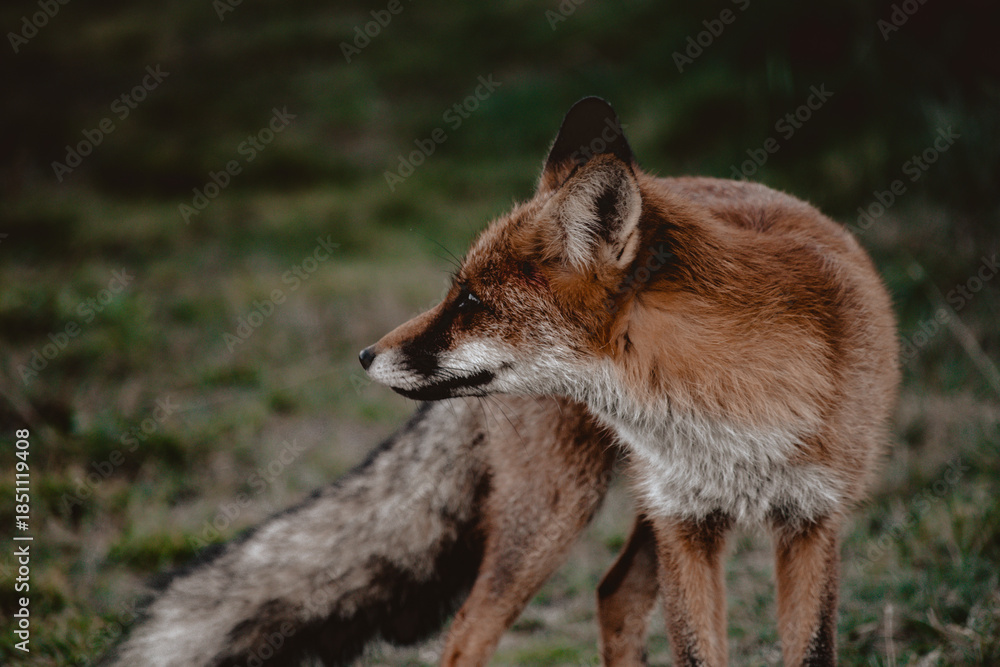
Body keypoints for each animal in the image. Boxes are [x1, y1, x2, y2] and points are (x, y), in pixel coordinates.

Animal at [361, 97, 901, 665]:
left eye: (468, 301)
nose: (366, 355)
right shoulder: (682, 522)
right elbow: (695, 652)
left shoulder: (813, 520)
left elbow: (813, 648)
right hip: (557, 511)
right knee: (468, 631)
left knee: (612, 593)